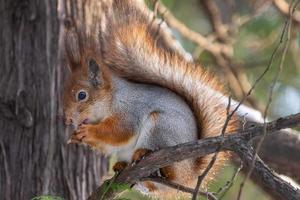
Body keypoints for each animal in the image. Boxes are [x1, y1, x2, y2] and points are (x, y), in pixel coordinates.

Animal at [62, 0, 238, 198]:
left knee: (166, 170)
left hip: (160, 128)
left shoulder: (129, 110)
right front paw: (76, 136)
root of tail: (189, 174)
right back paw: (123, 166)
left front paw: (88, 132)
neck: (112, 98)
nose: (67, 119)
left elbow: (119, 131)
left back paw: (146, 155)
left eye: (81, 95)